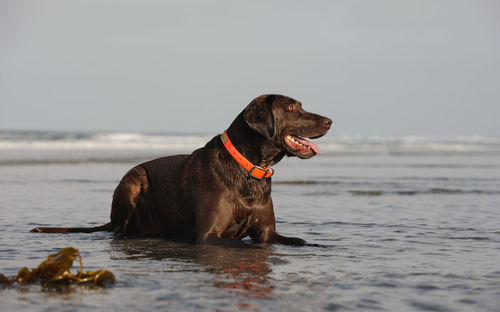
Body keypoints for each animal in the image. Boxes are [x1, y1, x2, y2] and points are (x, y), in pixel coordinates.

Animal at [33, 94, 334, 246]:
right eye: (292, 107)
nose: (330, 120)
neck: (249, 169)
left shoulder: (267, 233)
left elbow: (299, 241)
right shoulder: (209, 236)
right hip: (132, 181)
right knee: (119, 229)